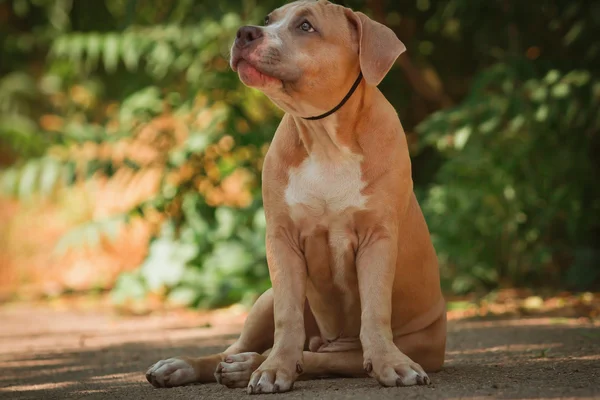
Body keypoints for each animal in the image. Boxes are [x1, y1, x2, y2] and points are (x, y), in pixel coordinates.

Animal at [145, 0, 446, 394]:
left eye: (306, 26)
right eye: (269, 20)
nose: (245, 32)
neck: (324, 139)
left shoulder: (377, 240)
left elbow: (375, 311)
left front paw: (390, 364)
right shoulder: (281, 241)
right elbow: (287, 319)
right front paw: (276, 369)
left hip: (420, 342)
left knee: (333, 358)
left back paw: (248, 366)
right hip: (264, 301)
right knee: (235, 349)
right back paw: (191, 365)